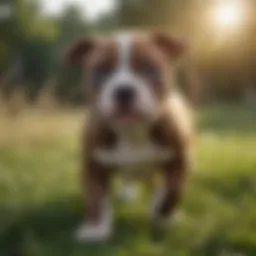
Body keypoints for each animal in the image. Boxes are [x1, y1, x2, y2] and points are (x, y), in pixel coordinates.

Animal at [65, 31, 193, 241]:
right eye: (101, 70)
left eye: (148, 68)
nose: (124, 91)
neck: (132, 130)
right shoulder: (92, 164)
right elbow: (95, 198)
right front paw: (95, 229)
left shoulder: (179, 160)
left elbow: (173, 191)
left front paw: (162, 214)